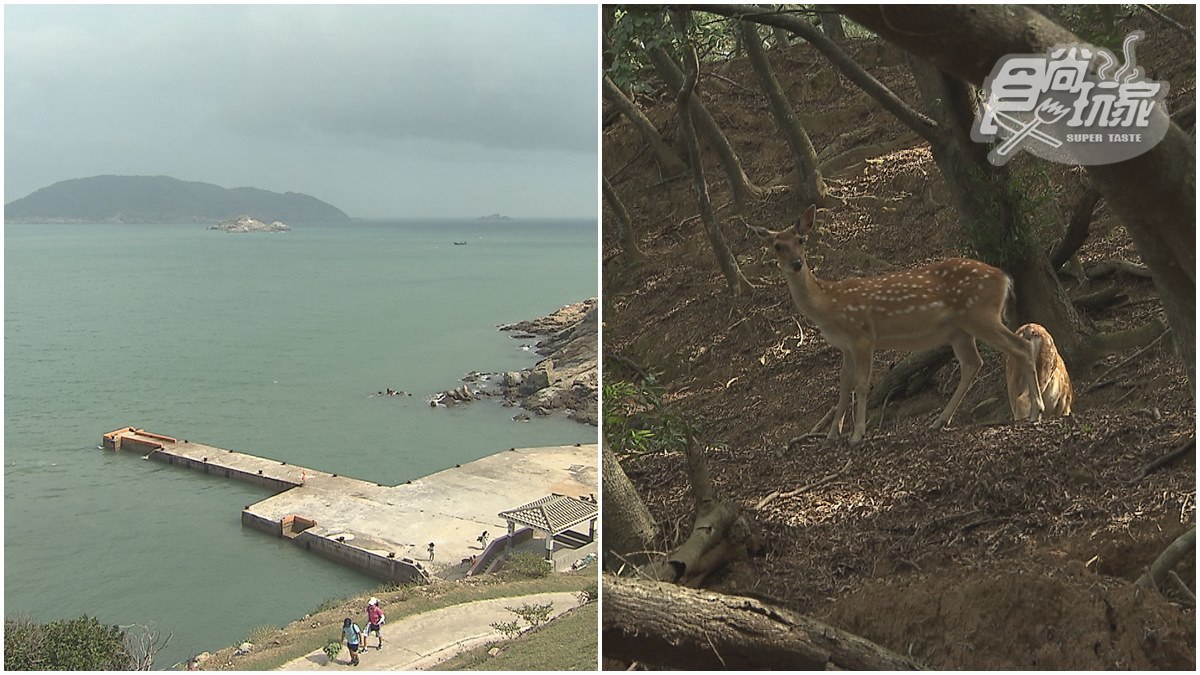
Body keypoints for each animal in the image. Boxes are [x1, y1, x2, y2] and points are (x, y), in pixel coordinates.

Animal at [750, 205, 1044, 446]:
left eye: (801, 240)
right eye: (777, 246)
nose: (796, 263)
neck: (830, 306)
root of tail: (1005, 278)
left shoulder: (863, 336)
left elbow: (861, 384)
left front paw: (857, 435)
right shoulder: (844, 346)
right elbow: (843, 386)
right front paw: (833, 434)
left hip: (981, 315)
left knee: (1019, 346)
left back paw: (1036, 411)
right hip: (959, 329)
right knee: (973, 363)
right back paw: (940, 421)